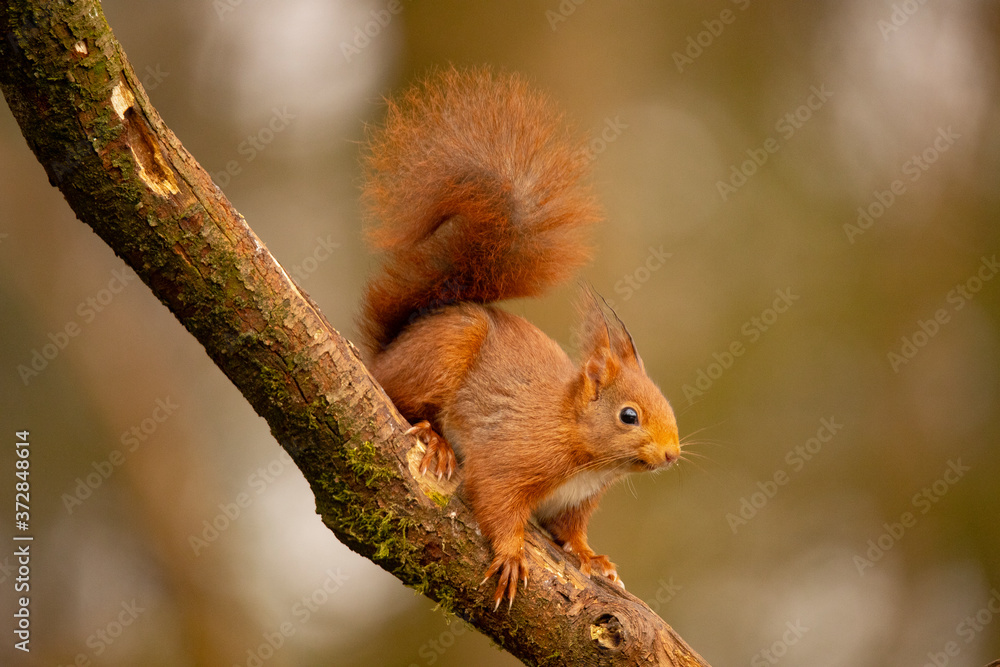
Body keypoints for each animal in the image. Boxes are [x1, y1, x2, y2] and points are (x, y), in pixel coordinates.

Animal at [357, 66, 680, 609]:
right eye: (628, 416)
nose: (672, 454)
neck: (584, 452)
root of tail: (391, 348)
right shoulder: (513, 456)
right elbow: (496, 497)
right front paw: (511, 555)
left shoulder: (573, 504)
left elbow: (571, 532)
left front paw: (593, 559)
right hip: (440, 354)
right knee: (399, 395)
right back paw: (434, 439)